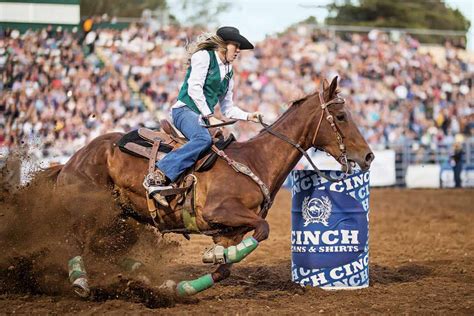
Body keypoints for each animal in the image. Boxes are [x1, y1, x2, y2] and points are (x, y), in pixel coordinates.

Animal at [47, 76, 374, 296]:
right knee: (75, 239)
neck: (256, 160)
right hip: (89, 210)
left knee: (101, 247)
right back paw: (81, 281)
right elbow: (262, 231)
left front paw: (190, 282)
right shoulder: (220, 211)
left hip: (119, 216)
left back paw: (148, 279)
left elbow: (225, 268)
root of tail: (71, 160)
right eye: (341, 116)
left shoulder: (229, 231)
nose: (368, 156)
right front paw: (213, 257)